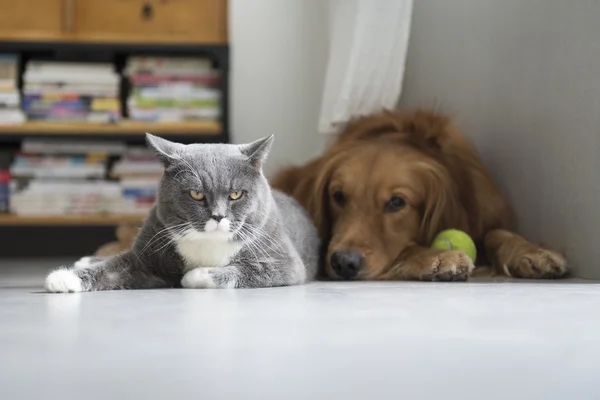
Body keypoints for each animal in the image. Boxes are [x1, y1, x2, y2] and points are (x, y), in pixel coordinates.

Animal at [45, 133, 322, 292]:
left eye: (235, 195)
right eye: (196, 194)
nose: (218, 216)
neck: (207, 242)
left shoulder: (285, 263)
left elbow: (248, 271)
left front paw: (195, 275)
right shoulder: (144, 257)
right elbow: (112, 267)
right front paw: (64, 278)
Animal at [272, 109, 568, 282]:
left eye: (397, 202)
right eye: (338, 196)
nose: (344, 263)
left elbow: (498, 232)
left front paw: (533, 252)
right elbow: (408, 248)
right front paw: (437, 257)